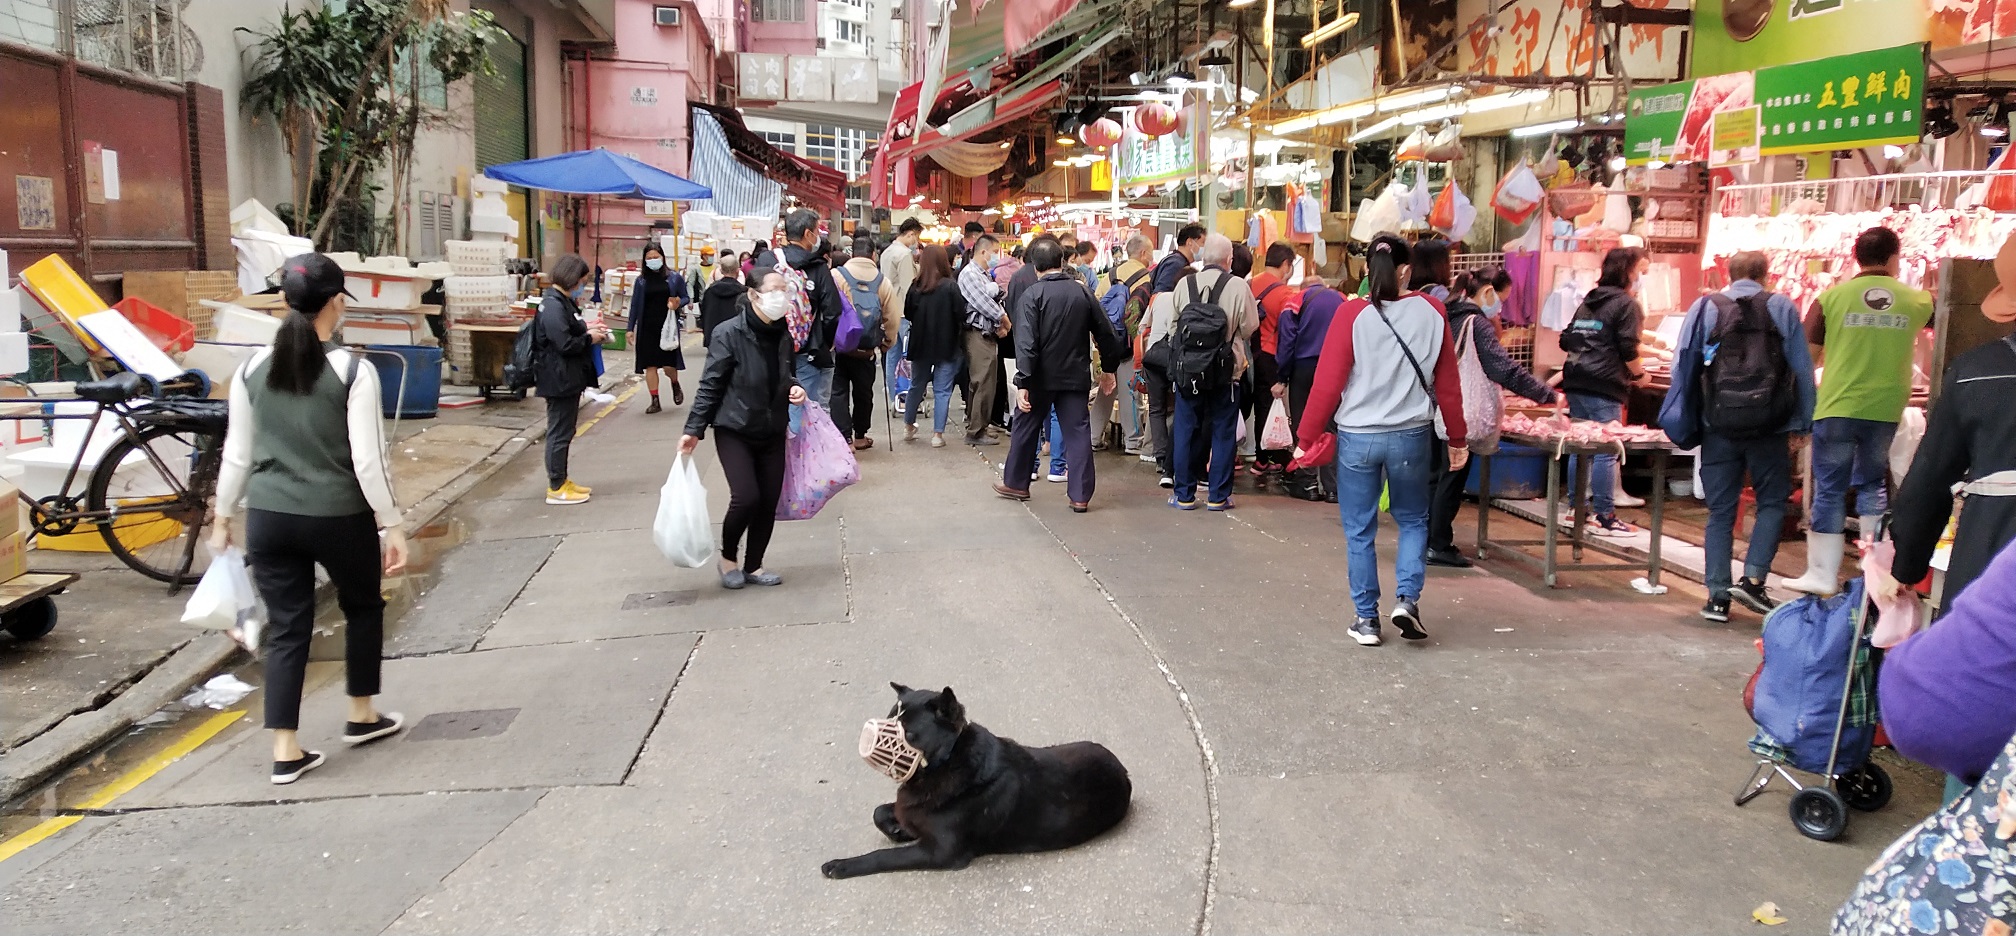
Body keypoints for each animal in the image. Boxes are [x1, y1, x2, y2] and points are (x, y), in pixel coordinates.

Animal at [818, 685, 1137, 879]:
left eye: (907, 733)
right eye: (889, 719)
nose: (867, 737)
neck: (950, 758)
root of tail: (1123, 770)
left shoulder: (940, 853)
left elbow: (883, 856)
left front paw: (842, 865)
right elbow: (880, 811)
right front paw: (898, 828)